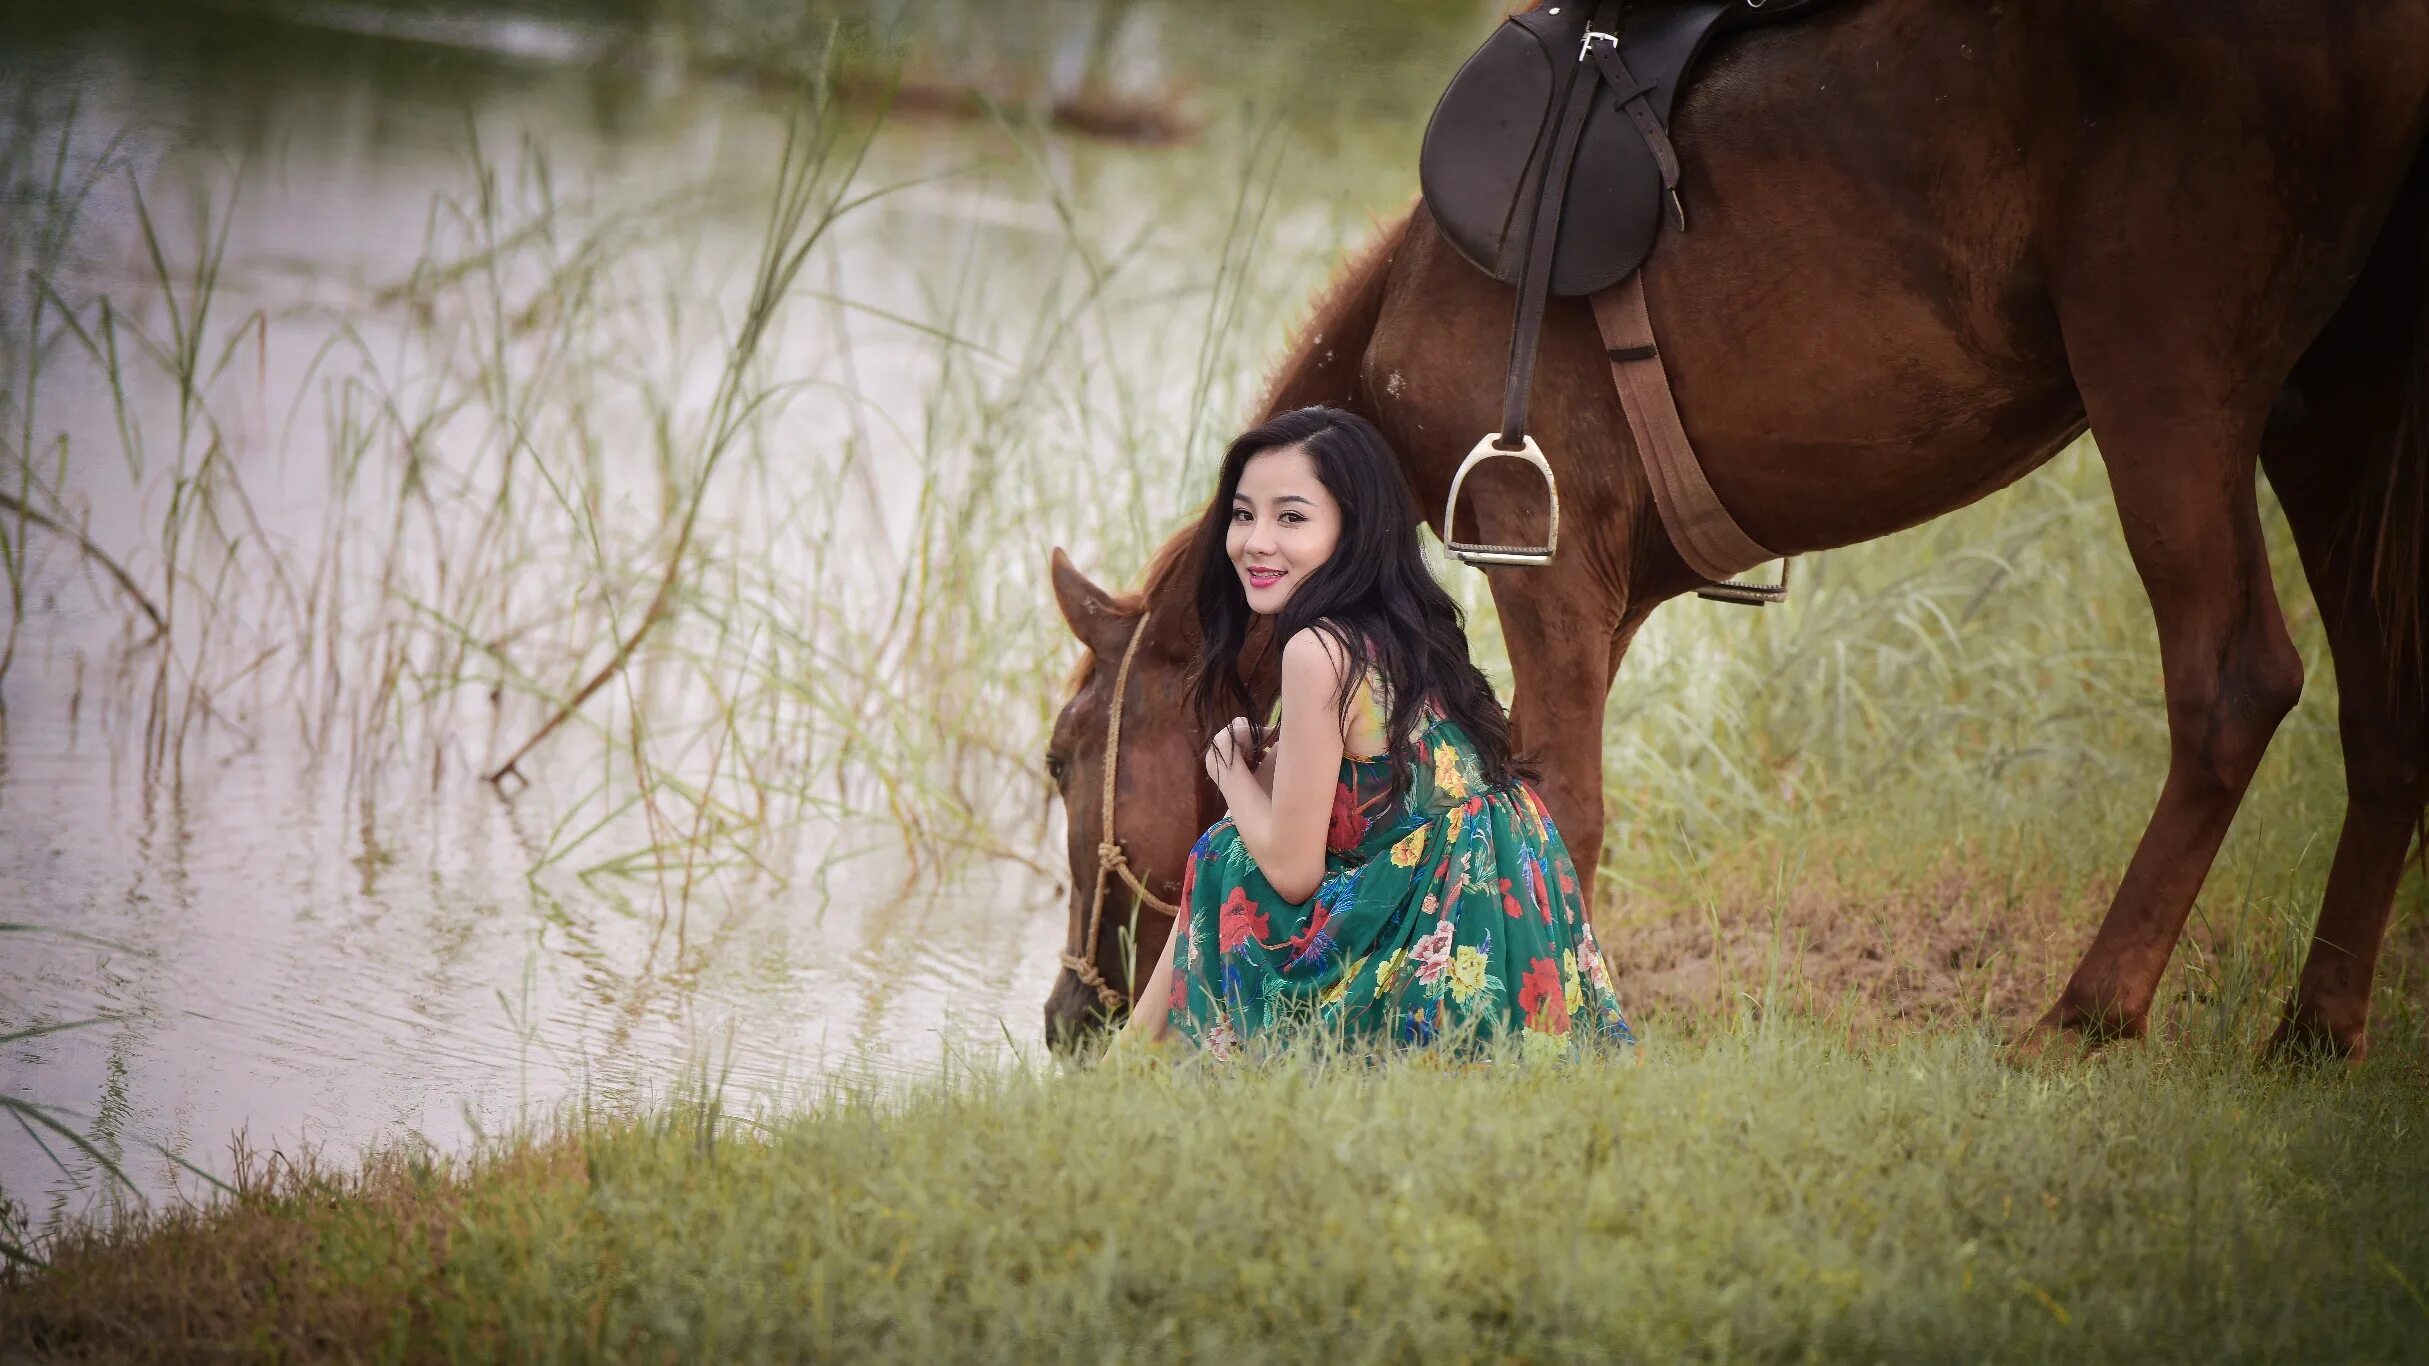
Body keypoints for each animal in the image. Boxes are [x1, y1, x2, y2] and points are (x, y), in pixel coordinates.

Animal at [1039, 0, 2429, 1054]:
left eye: (1059, 758)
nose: (1063, 1016)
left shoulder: (1541, 553)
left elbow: (1561, 798)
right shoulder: (1607, 596)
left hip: (2165, 382)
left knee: (2231, 682)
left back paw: (2085, 1016)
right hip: (2328, 409)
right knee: (2380, 708)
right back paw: (2315, 1028)